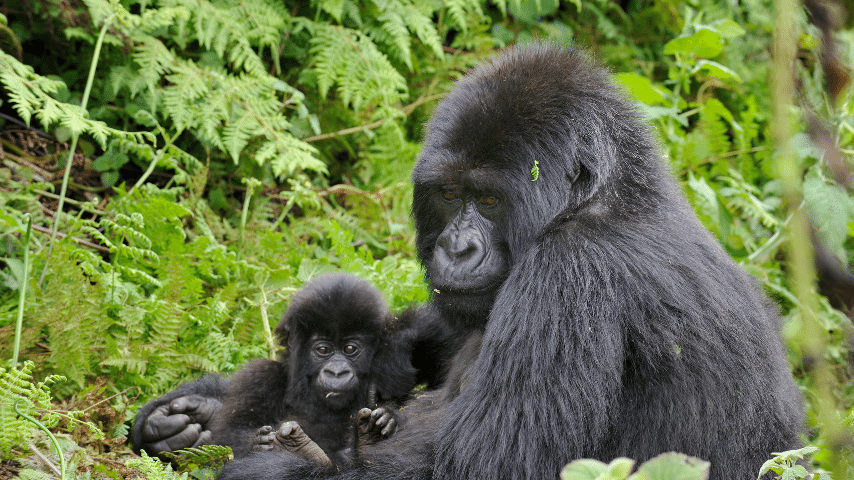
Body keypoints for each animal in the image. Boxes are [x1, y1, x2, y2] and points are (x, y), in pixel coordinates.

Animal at [130, 276, 418, 466]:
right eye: (323, 349)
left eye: (350, 349)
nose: (337, 373)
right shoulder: (262, 376)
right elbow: (230, 431)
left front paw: (388, 417)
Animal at [224, 43, 804, 478]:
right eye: (449, 195)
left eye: (488, 200)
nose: (456, 249)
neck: (610, 196)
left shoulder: (569, 273)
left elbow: (483, 470)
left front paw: (280, 463)